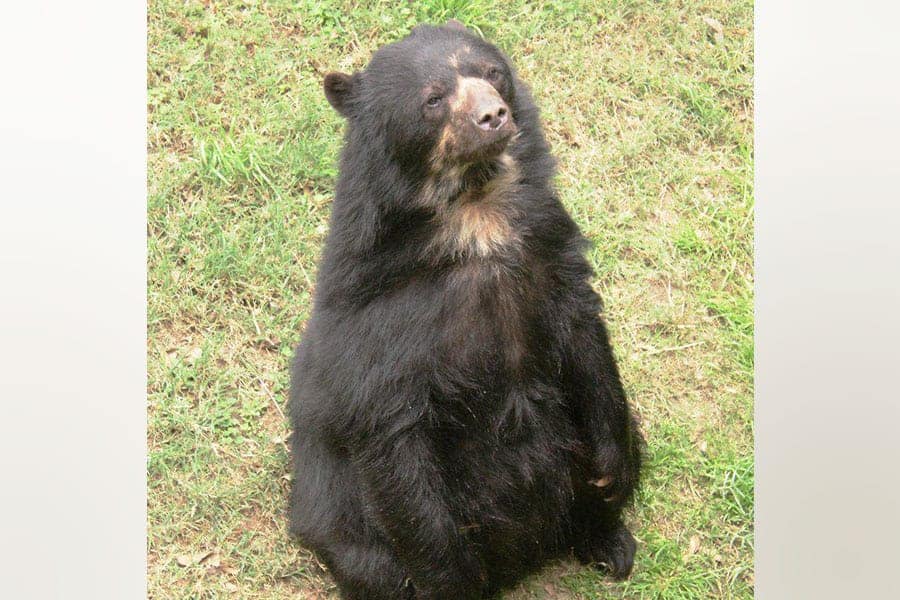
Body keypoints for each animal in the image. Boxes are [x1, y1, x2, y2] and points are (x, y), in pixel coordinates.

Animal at [288, 21, 643, 600]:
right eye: (433, 100)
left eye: (493, 74)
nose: (493, 115)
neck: (476, 216)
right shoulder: (380, 326)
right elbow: (399, 459)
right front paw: (451, 576)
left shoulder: (550, 248)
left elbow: (587, 341)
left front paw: (609, 474)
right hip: (338, 517)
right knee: (373, 564)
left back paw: (609, 542)